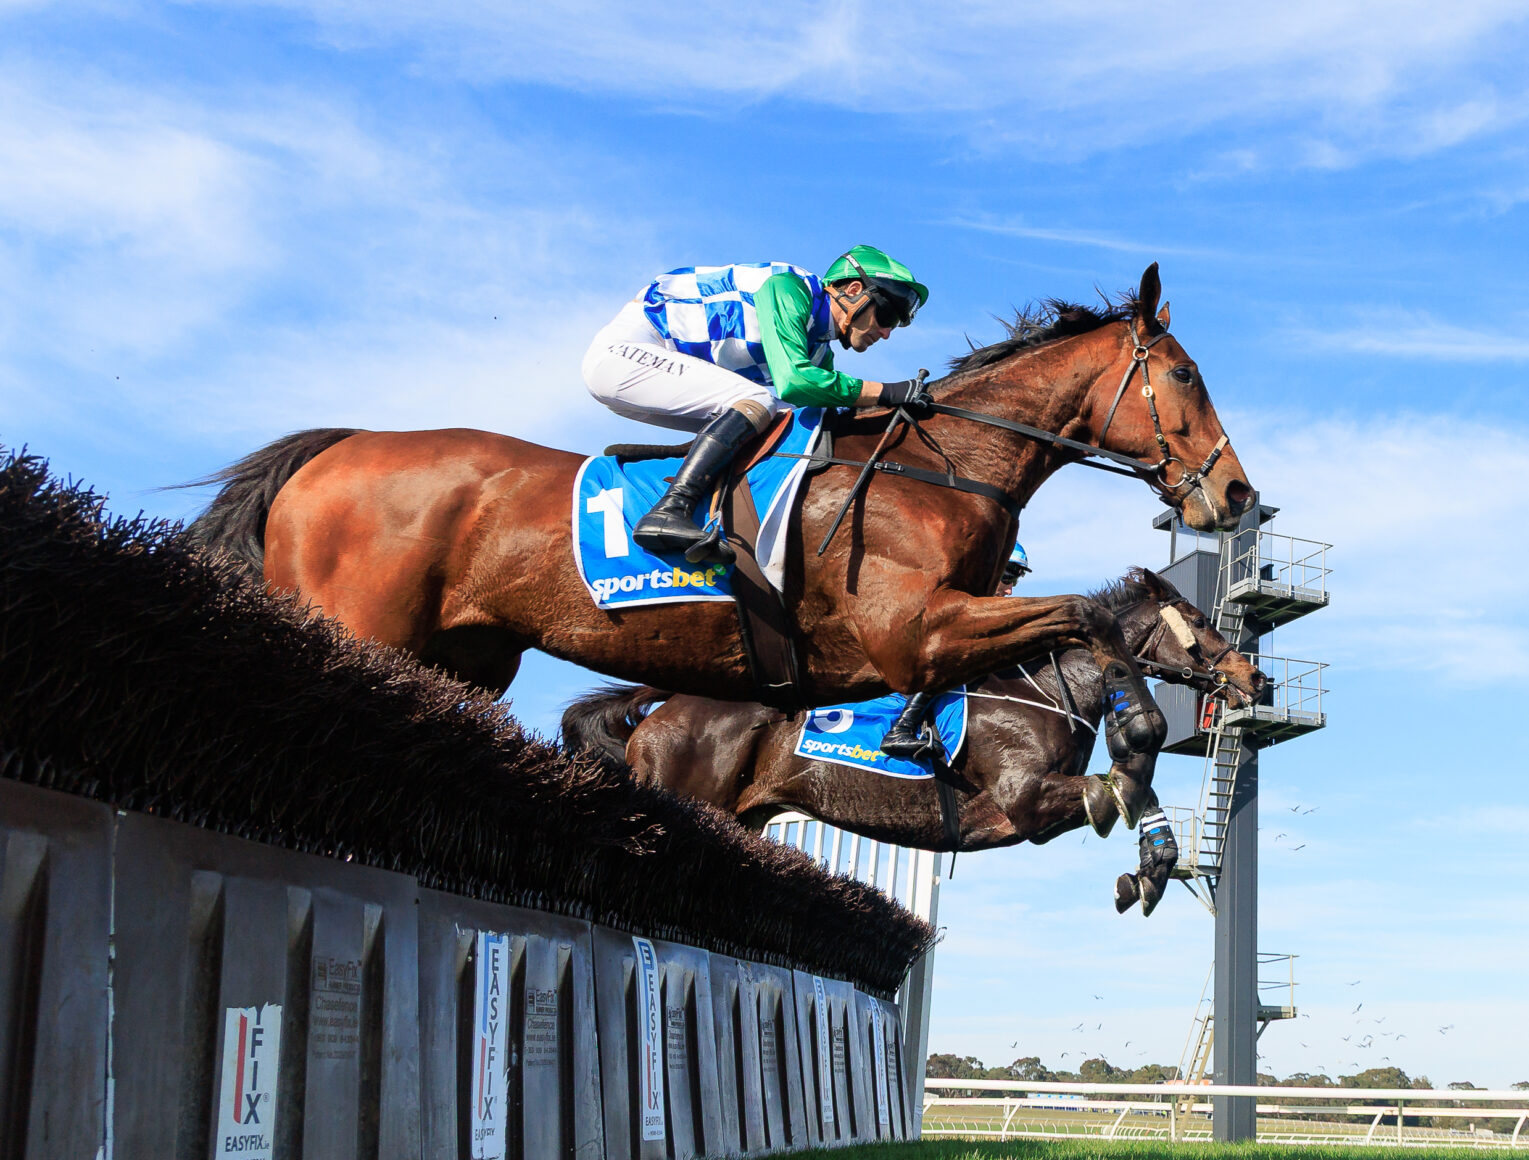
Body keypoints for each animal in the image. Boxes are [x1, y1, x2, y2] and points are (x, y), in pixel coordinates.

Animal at [188, 263, 1254, 819]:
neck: (942, 464)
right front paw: (1134, 747)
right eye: (1186, 375)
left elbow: (1080, 627)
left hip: (461, 660)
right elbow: (1086, 616)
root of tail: (336, 447)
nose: (1235, 493)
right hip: (355, 625)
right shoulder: (913, 628)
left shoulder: (942, 632)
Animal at [560, 568, 1264, 914]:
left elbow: (1137, 796)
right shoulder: (1025, 800)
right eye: (1200, 621)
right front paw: (1144, 871)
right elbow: (1119, 787)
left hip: (740, 818)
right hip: (681, 800)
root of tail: (661, 710)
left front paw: (1150, 872)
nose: (1254, 677)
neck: (1046, 689)